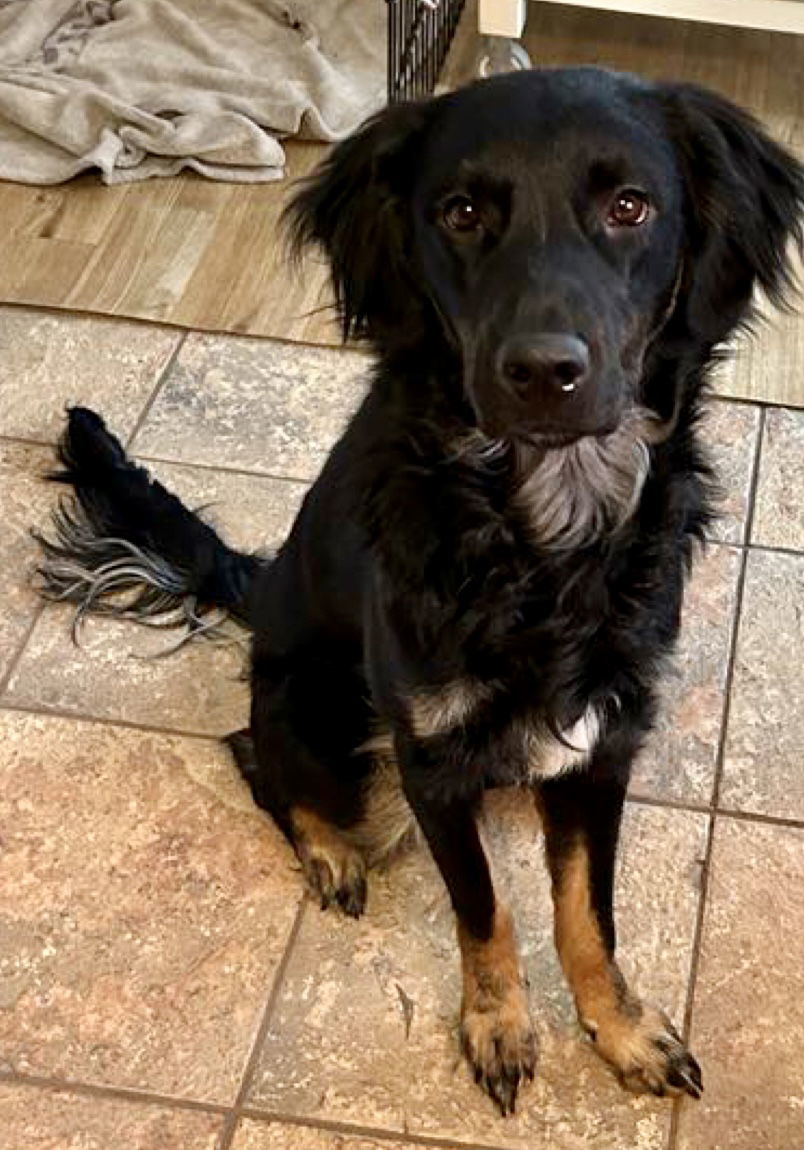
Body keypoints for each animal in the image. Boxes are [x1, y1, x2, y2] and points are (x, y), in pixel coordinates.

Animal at [39, 67, 804, 1117]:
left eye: (629, 206)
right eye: (463, 212)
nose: (543, 373)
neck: (541, 534)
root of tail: (262, 588)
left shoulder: (603, 739)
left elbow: (587, 914)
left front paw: (621, 1028)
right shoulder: (429, 757)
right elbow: (485, 912)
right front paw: (499, 1026)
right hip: (318, 714)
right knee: (255, 755)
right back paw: (330, 850)